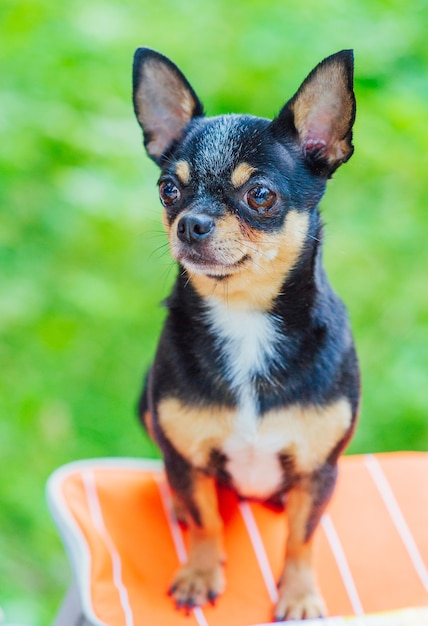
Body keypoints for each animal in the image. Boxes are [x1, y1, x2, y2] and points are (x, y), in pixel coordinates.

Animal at [132, 47, 360, 620]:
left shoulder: (318, 469)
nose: (190, 223)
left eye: (260, 195)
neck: (245, 319)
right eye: (168, 190)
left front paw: (299, 594)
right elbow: (206, 520)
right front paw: (199, 573)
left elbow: (301, 537)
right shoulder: (188, 456)